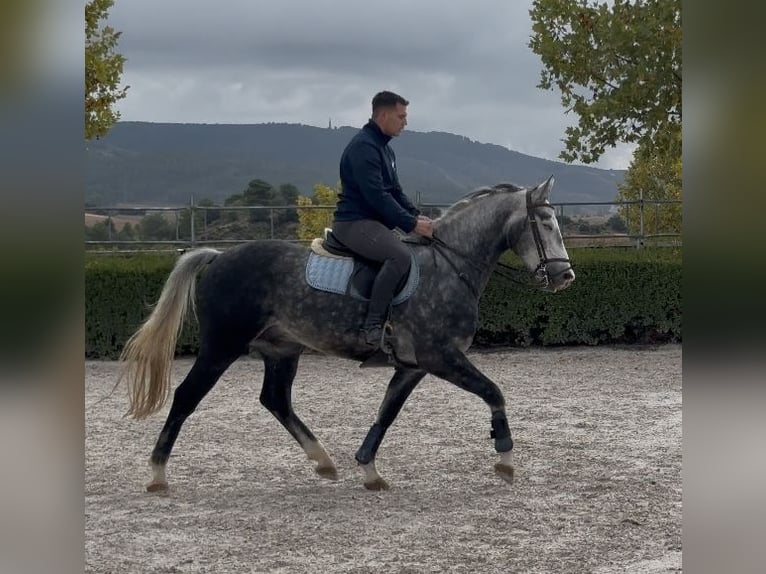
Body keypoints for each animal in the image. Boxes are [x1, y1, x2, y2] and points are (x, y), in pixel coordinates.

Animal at [118, 177, 575, 492]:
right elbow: (493, 392)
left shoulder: (414, 366)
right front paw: (505, 458)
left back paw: (323, 461)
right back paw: (157, 475)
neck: (450, 265)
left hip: (282, 349)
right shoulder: (440, 357)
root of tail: (218, 257)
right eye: (544, 223)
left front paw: (369, 469)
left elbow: (386, 413)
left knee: (275, 400)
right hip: (221, 346)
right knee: (186, 397)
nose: (564, 276)